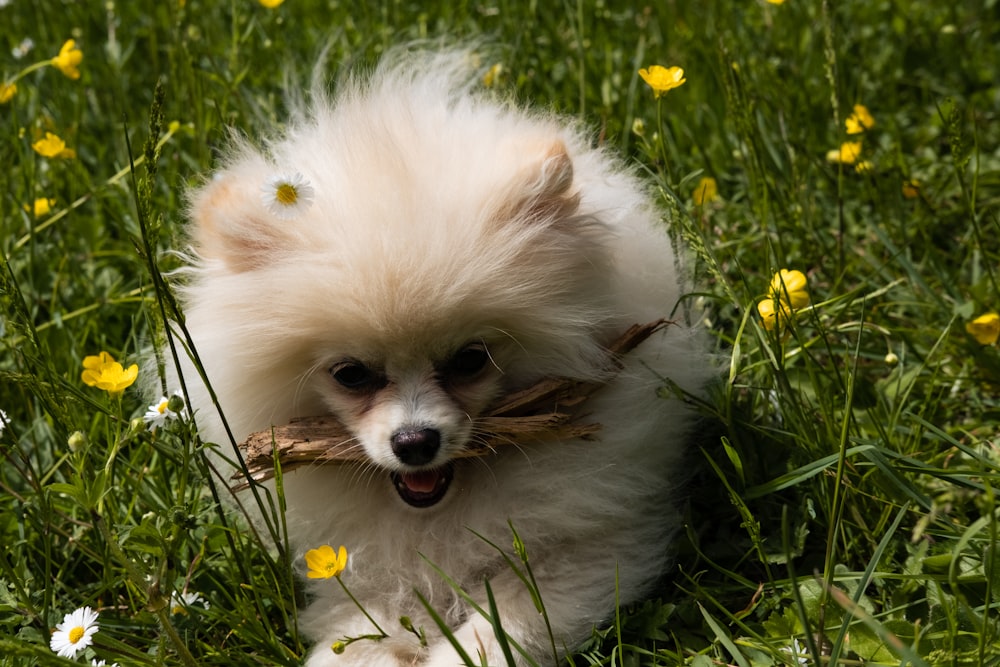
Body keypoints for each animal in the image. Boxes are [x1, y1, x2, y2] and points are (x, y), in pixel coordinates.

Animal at [168, 49, 712, 664]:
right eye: (351, 374)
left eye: (470, 359)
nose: (414, 442)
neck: (434, 516)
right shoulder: (360, 583)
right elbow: (356, 640)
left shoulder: (589, 551)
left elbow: (501, 629)